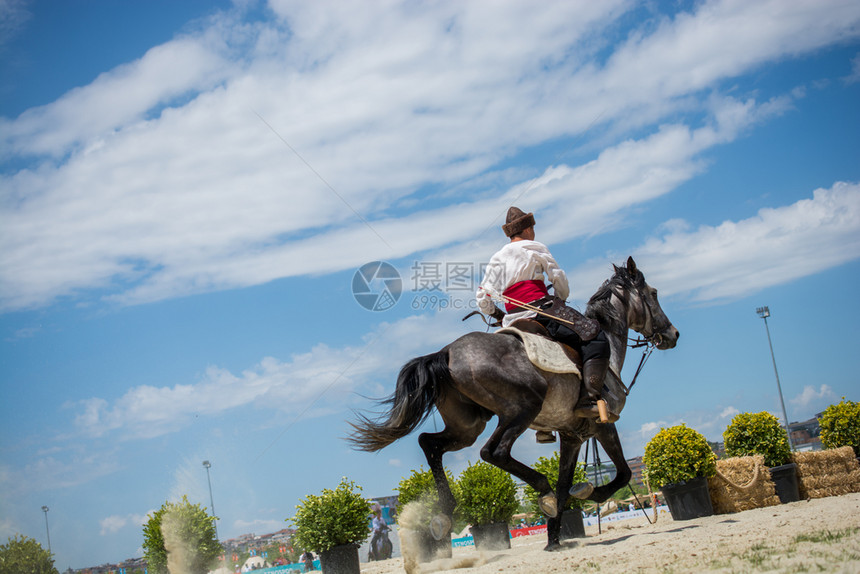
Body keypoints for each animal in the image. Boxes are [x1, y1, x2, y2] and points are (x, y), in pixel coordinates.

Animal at [350, 258, 680, 552]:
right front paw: (590, 492)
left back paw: (445, 513)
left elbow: (565, 484)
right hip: (522, 409)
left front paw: (553, 538)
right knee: (492, 452)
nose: (672, 334)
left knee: (430, 443)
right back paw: (541, 490)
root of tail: (446, 352)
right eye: (653, 293)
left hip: (468, 426)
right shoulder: (603, 424)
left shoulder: (572, 434)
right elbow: (622, 473)